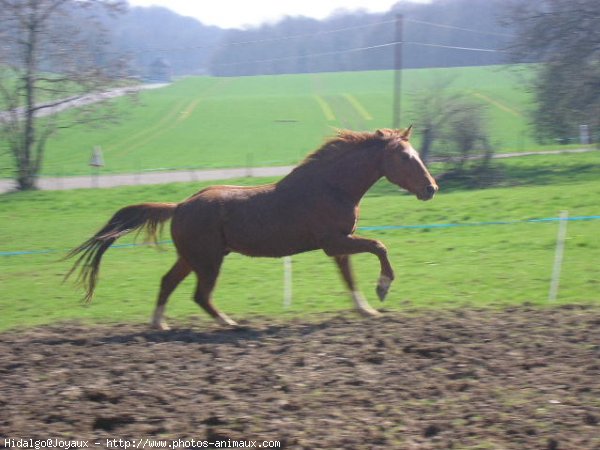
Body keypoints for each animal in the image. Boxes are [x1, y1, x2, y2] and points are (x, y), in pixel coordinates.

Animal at [68, 126, 438, 330]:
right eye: (405, 157)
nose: (431, 188)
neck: (332, 187)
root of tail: (180, 207)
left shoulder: (339, 244)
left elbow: (350, 278)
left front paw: (367, 310)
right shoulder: (335, 241)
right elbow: (378, 246)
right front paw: (383, 288)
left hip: (191, 258)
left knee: (167, 283)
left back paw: (160, 323)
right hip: (208, 261)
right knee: (200, 295)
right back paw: (230, 323)